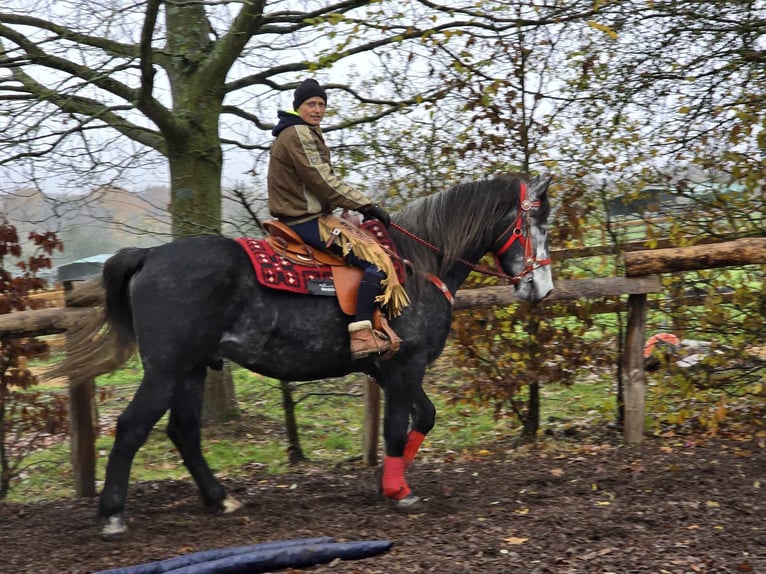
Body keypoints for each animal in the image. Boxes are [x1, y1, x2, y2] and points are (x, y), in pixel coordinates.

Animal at [76, 174, 552, 540]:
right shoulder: (405, 366)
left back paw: (219, 499)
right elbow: (396, 429)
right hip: (165, 369)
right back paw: (113, 515)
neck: (417, 265)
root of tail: (149, 256)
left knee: (184, 431)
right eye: (537, 225)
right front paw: (398, 491)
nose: (542, 289)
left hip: (193, 370)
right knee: (132, 427)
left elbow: (424, 418)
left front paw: (389, 480)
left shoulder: (391, 372)